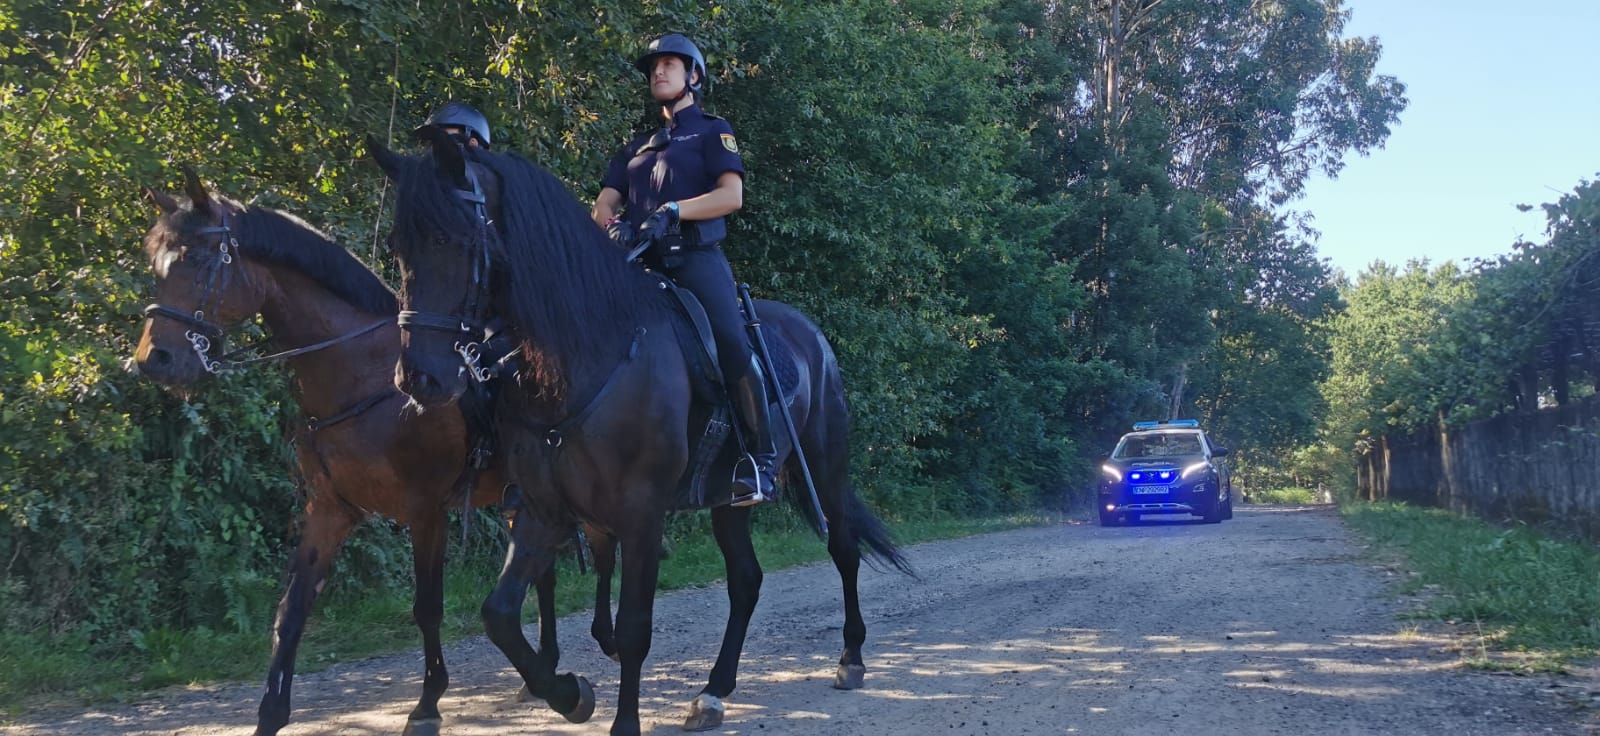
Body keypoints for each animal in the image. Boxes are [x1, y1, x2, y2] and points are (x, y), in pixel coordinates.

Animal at [129, 173, 582, 736]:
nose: (154, 360)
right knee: (544, 572)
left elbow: (427, 607)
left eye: (198, 260)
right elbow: (290, 611)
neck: (362, 373)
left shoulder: (426, 512)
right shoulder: (329, 509)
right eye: (157, 265)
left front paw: (427, 703)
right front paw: (270, 713)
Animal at [366, 132, 908, 736]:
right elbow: (499, 615)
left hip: (826, 468)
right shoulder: (542, 510)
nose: (418, 377)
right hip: (727, 500)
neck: (586, 354)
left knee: (843, 548)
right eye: (398, 245)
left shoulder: (641, 515)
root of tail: (810, 333)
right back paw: (714, 692)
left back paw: (851, 658)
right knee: (746, 580)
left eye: (449, 238)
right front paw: (569, 694)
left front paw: (619, 719)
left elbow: (632, 630)